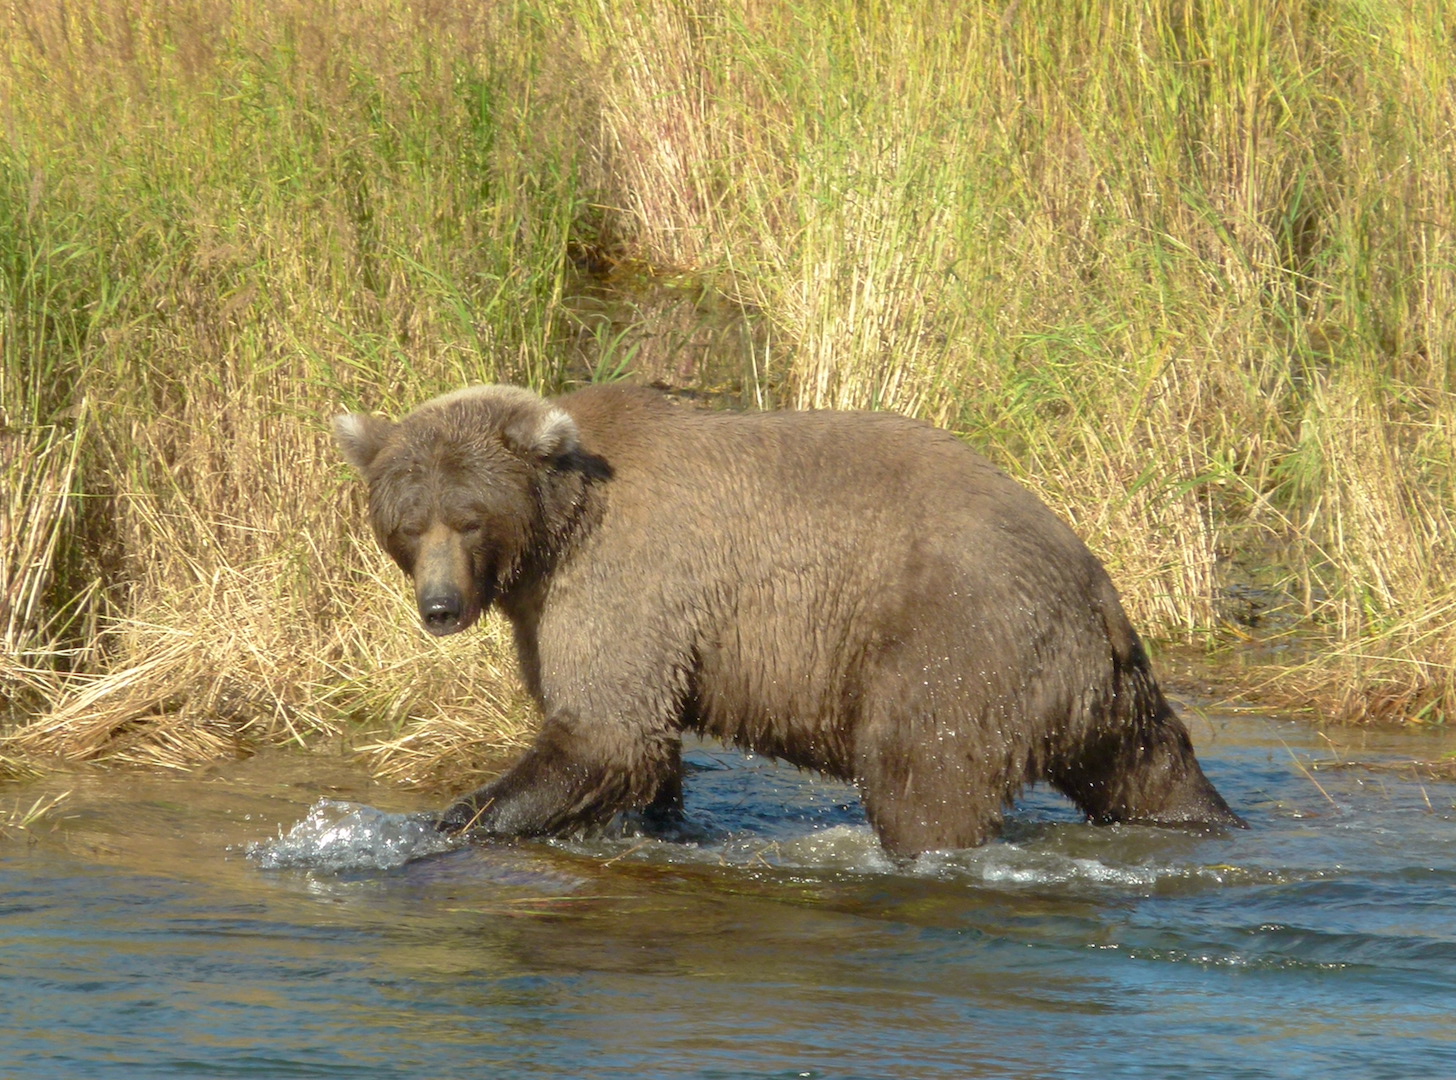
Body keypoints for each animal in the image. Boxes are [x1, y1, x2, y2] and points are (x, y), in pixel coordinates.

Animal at [334, 383, 1243, 856]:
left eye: (468, 518)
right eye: (407, 524)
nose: (441, 607)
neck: (556, 529)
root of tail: (1095, 590)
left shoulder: (620, 580)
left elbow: (604, 730)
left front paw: (437, 824)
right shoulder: (566, 606)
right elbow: (640, 743)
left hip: (959, 640)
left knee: (922, 775)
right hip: (1097, 687)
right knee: (1145, 768)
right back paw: (1209, 818)